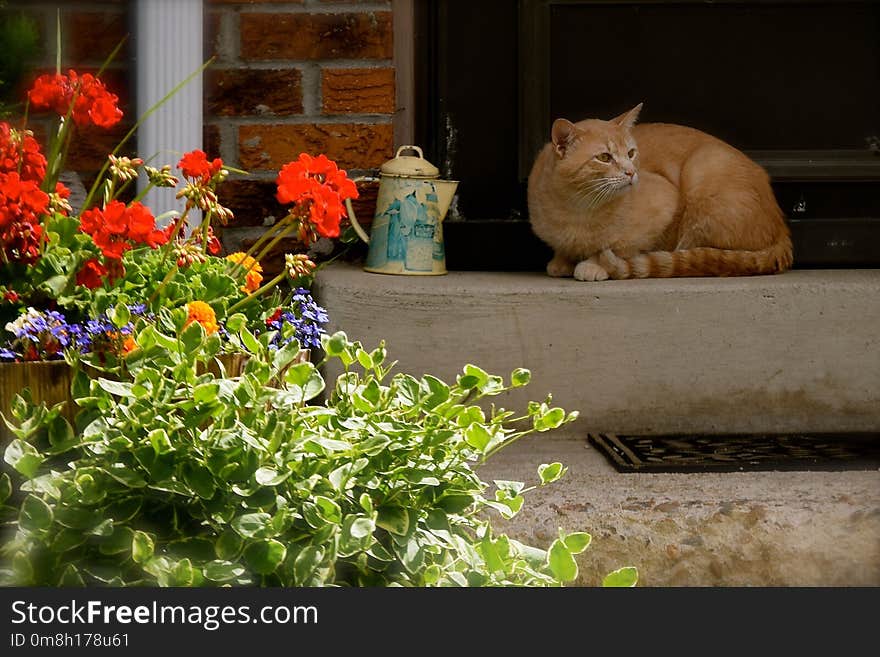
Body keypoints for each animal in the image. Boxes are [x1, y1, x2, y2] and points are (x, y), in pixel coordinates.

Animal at [524, 104, 796, 278]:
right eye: (604, 157)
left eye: (631, 153)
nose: (631, 172)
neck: (578, 210)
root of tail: (782, 229)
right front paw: (562, 260)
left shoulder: (665, 204)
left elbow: (621, 248)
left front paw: (595, 264)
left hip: (704, 172)